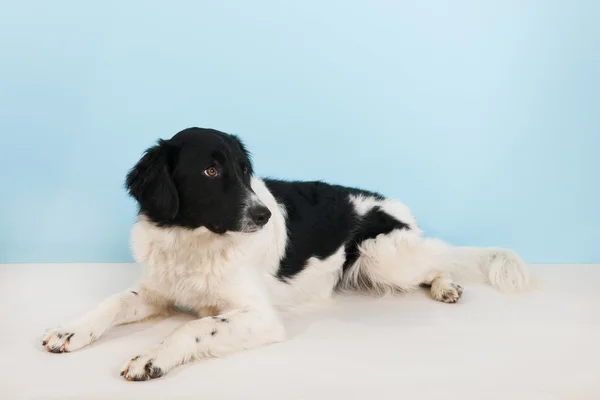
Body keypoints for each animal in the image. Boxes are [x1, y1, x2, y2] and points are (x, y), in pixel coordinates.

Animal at [43, 126, 528, 380]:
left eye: (245, 171)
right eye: (210, 170)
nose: (264, 215)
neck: (195, 242)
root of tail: (391, 203)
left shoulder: (259, 316)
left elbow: (192, 328)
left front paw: (151, 356)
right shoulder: (156, 290)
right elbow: (110, 303)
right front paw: (70, 330)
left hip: (379, 255)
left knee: (440, 257)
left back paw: (448, 285)